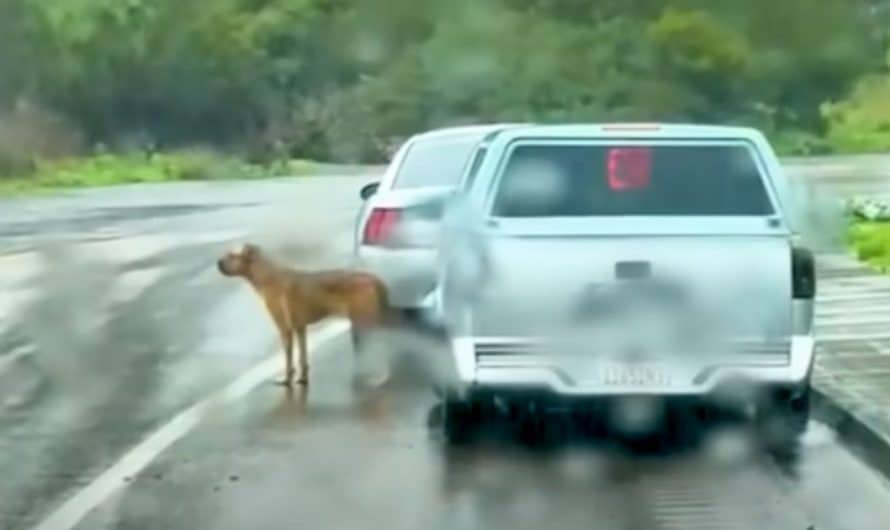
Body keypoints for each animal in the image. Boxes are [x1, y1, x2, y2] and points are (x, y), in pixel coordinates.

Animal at [217, 242, 390, 384]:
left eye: (232, 255)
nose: (217, 262)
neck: (267, 275)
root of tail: (372, 277)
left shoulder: (285, 329)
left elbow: (288, 357)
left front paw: (286, 378)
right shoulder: (300, 328)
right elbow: (302, 355)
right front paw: (302, 377)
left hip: (366, 322)